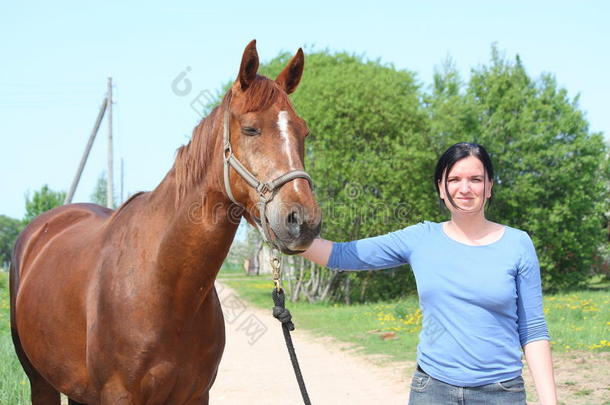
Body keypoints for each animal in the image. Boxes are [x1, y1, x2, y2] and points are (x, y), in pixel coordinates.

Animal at [9, 40, 320, 404]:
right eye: (251, 128)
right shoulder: (118, 395)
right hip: (41, 382)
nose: (303, 221)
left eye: (303, 131)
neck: (164, 285)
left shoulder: (197, 394)